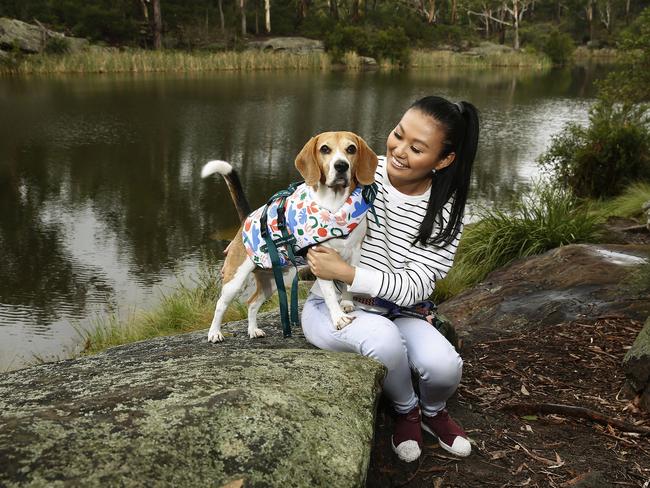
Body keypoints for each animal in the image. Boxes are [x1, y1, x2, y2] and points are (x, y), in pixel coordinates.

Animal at [200, 132, 378, 342]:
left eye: (351, 149)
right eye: (325, 149)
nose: (341, 166)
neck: (335, 208)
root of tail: (246, 218)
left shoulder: (355, 253)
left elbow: (350, 282)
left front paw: (347, 304)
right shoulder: (320, 260)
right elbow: (329, 294)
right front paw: (338, 318)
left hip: (273, 281)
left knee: (252, 303)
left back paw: (253, 329)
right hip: (234, 281)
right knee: (220, 305)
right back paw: (214, 333)